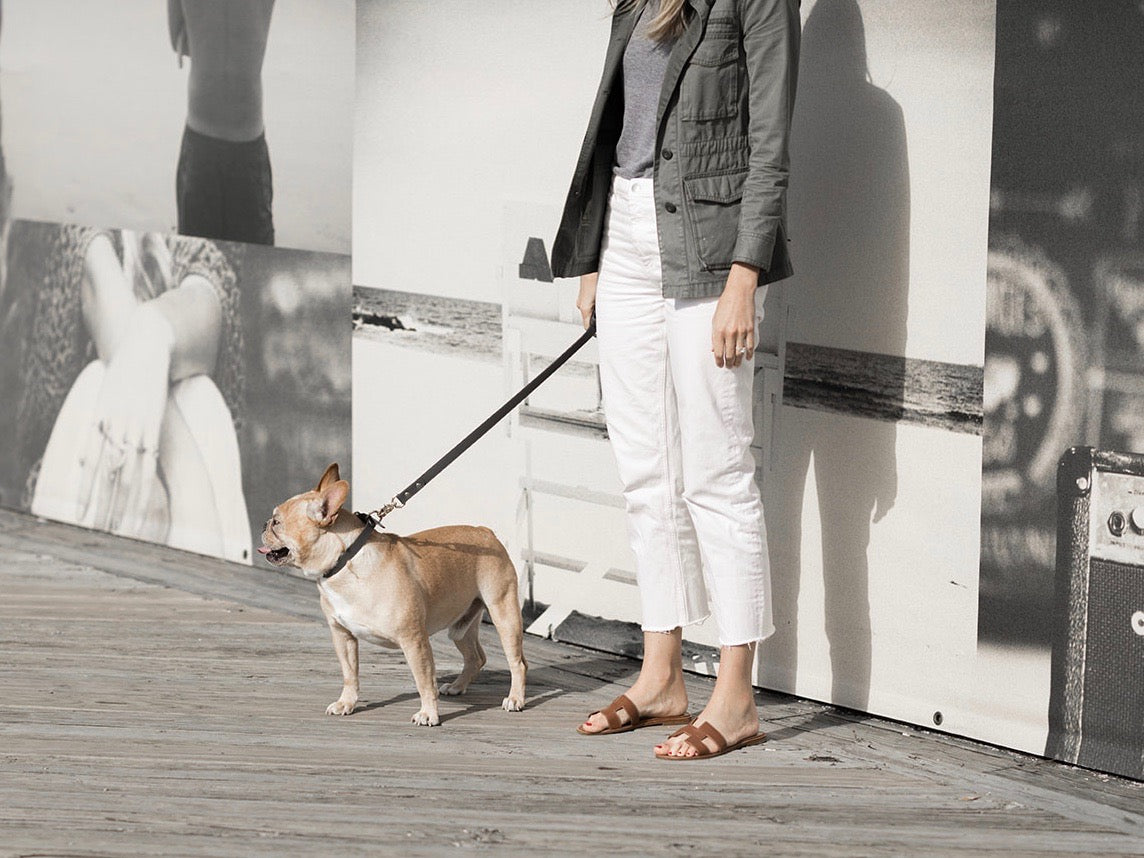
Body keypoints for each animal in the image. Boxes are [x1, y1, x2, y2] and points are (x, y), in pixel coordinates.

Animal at [259, 464, 526, 727]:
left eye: (277, 522)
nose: (264, 525)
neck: (345, 562)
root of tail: (486, 532)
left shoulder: (414, 640)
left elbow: (424, 681)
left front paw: (429, 714)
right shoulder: (342, 635)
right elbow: (349, 674)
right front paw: (346, 703)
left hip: (504, 615)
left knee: (517, 663)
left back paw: (515, 699)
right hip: (461, 626)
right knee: (475, 657)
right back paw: (458, 686)